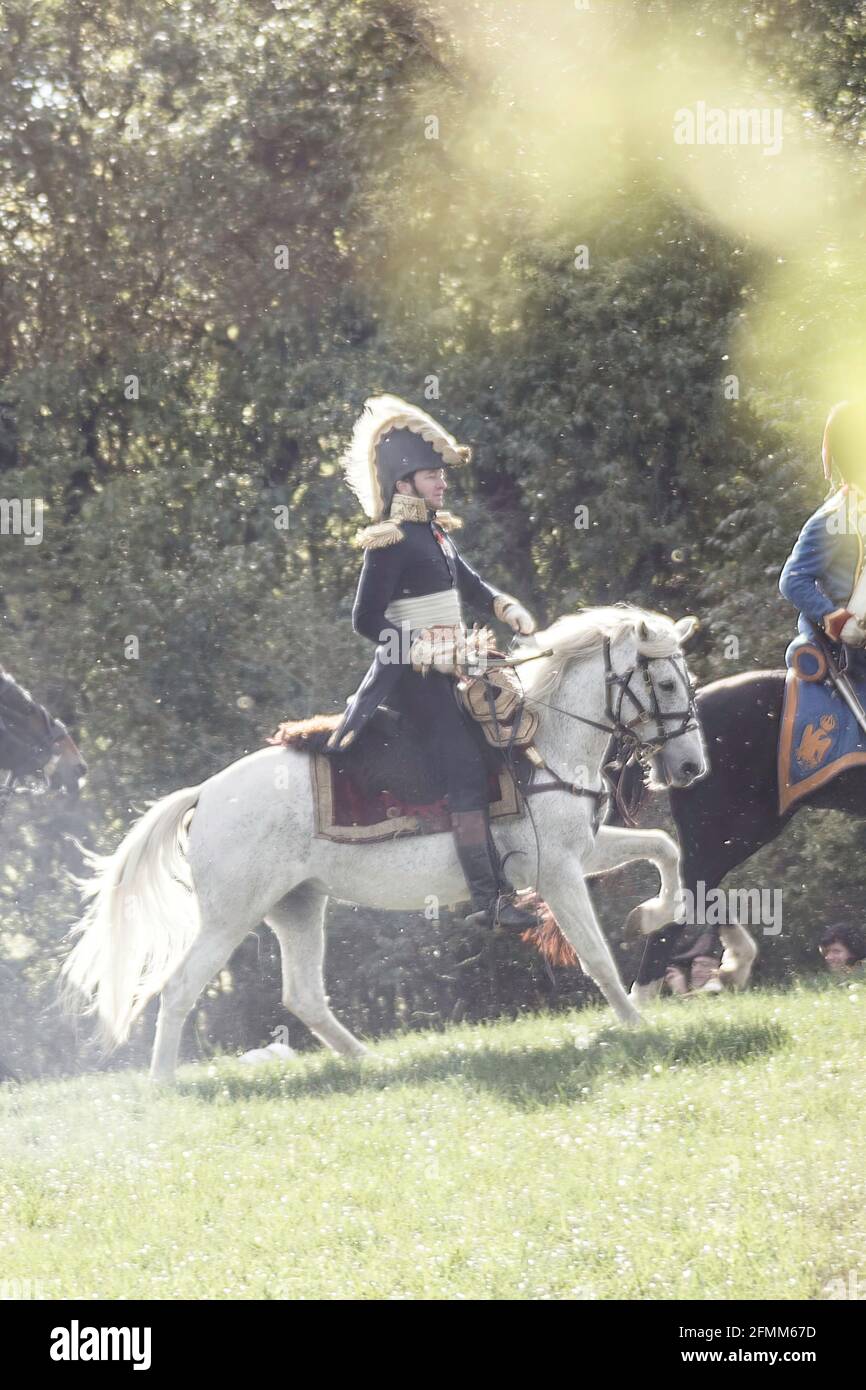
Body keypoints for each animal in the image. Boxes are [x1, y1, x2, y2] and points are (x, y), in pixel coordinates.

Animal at [62, 603, 711, 1078]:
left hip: (297, 906)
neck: (542, 743)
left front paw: (652, 916)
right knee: (178, 991)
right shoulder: (557, 873)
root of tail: (205, 794)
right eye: (662, 681)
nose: (690, 767)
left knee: (303, 996)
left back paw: (368, 1063)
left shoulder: (582, 853)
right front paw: (635, 1024)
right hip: (229, 917)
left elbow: (664, 847)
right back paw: (162, 1085)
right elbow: (596, 954)